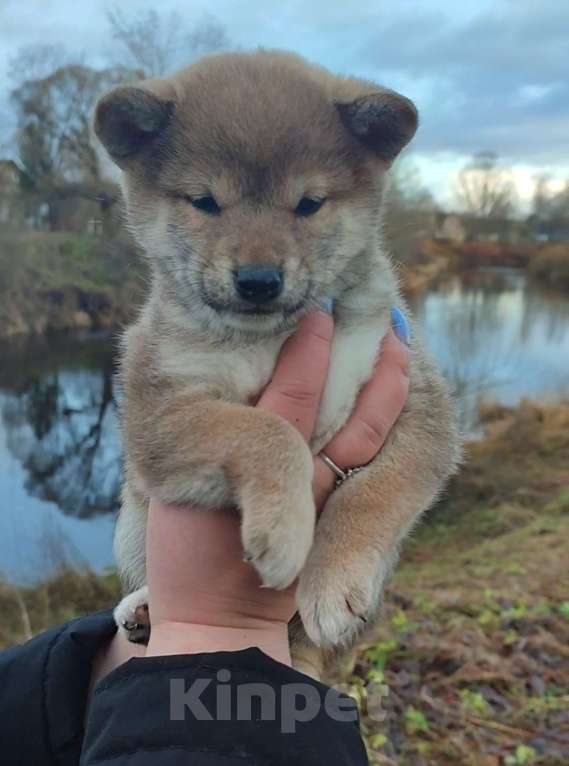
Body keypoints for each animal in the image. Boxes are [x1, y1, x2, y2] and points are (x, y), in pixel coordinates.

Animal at [95, 49, 460, 680]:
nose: (260, 280)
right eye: (205, 201)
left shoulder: (417, 402)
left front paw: (333, 580)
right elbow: (266, 431)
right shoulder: (157, 412)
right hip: (132, 525)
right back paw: (140, 609)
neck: (269, 338)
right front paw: (288, 533)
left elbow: (372, 491)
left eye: (309, 203)